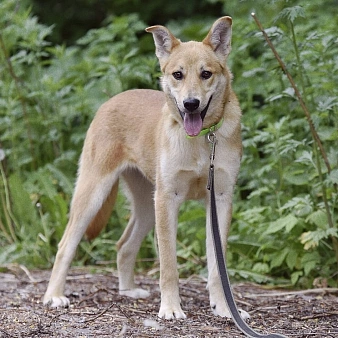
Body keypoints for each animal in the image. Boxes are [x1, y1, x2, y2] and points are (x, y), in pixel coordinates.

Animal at [43, 16, 244, 322]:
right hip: (95, 195)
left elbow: (216, 270)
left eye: (206, 74)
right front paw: (171, 308)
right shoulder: (168, 199)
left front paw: (223, 309)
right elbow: (169, 266)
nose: (191, 104)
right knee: (65, 246)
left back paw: (127, 291)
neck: (201, 141)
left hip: (147, 206)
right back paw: (54, 295)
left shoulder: (219, 200)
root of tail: (112, 99)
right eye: (178, 74)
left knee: (124, 246)